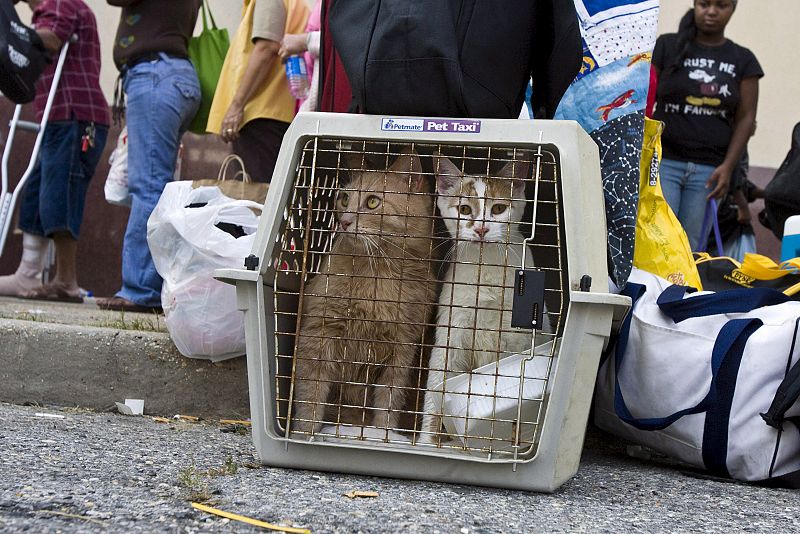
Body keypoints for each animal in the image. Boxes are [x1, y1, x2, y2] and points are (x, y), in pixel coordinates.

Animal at [290, 149, 438, 438]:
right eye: (344, 198)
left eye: (372, 202)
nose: (344, 221)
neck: (379, 275)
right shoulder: (319, 334)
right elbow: (311, 397)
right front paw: (305, 434)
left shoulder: (402, 352)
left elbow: (388, 404)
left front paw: (383, 436)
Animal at [418, 153, 552, 446]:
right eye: (465, 209)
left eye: (499, 208)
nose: (481, 229)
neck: (487, 269)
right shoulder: (452, 333)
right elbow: (436, 388)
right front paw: (425, 442)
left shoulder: (515, 337)